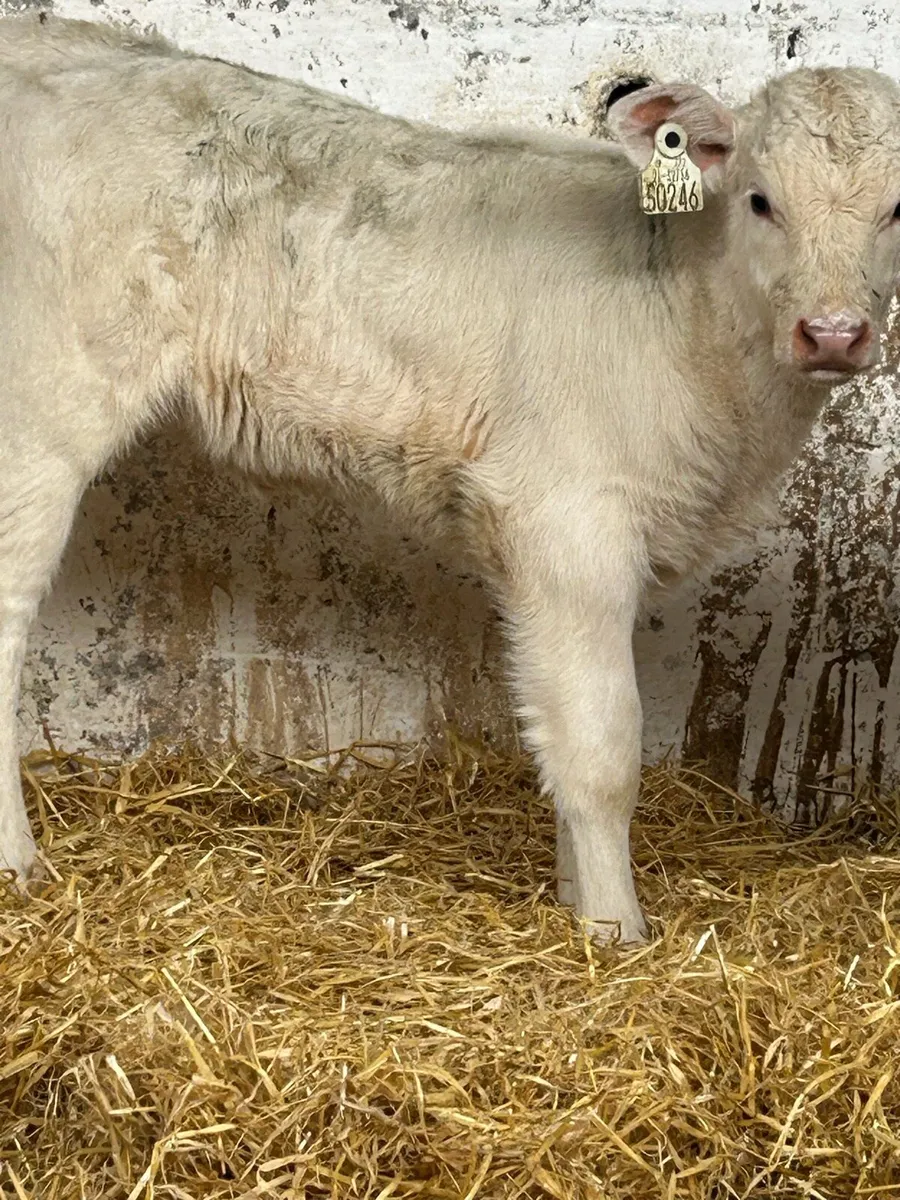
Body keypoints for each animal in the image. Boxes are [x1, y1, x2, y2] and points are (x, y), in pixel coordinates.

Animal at [0, 13, 898, 944]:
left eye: (897, 208)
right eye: (760, 200)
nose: (834, 333)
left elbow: (553, 724)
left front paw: (575, 899)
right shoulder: (567, 522)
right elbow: (603, 748)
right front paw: (616, 933)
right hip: (39, 404)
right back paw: (21, 865)